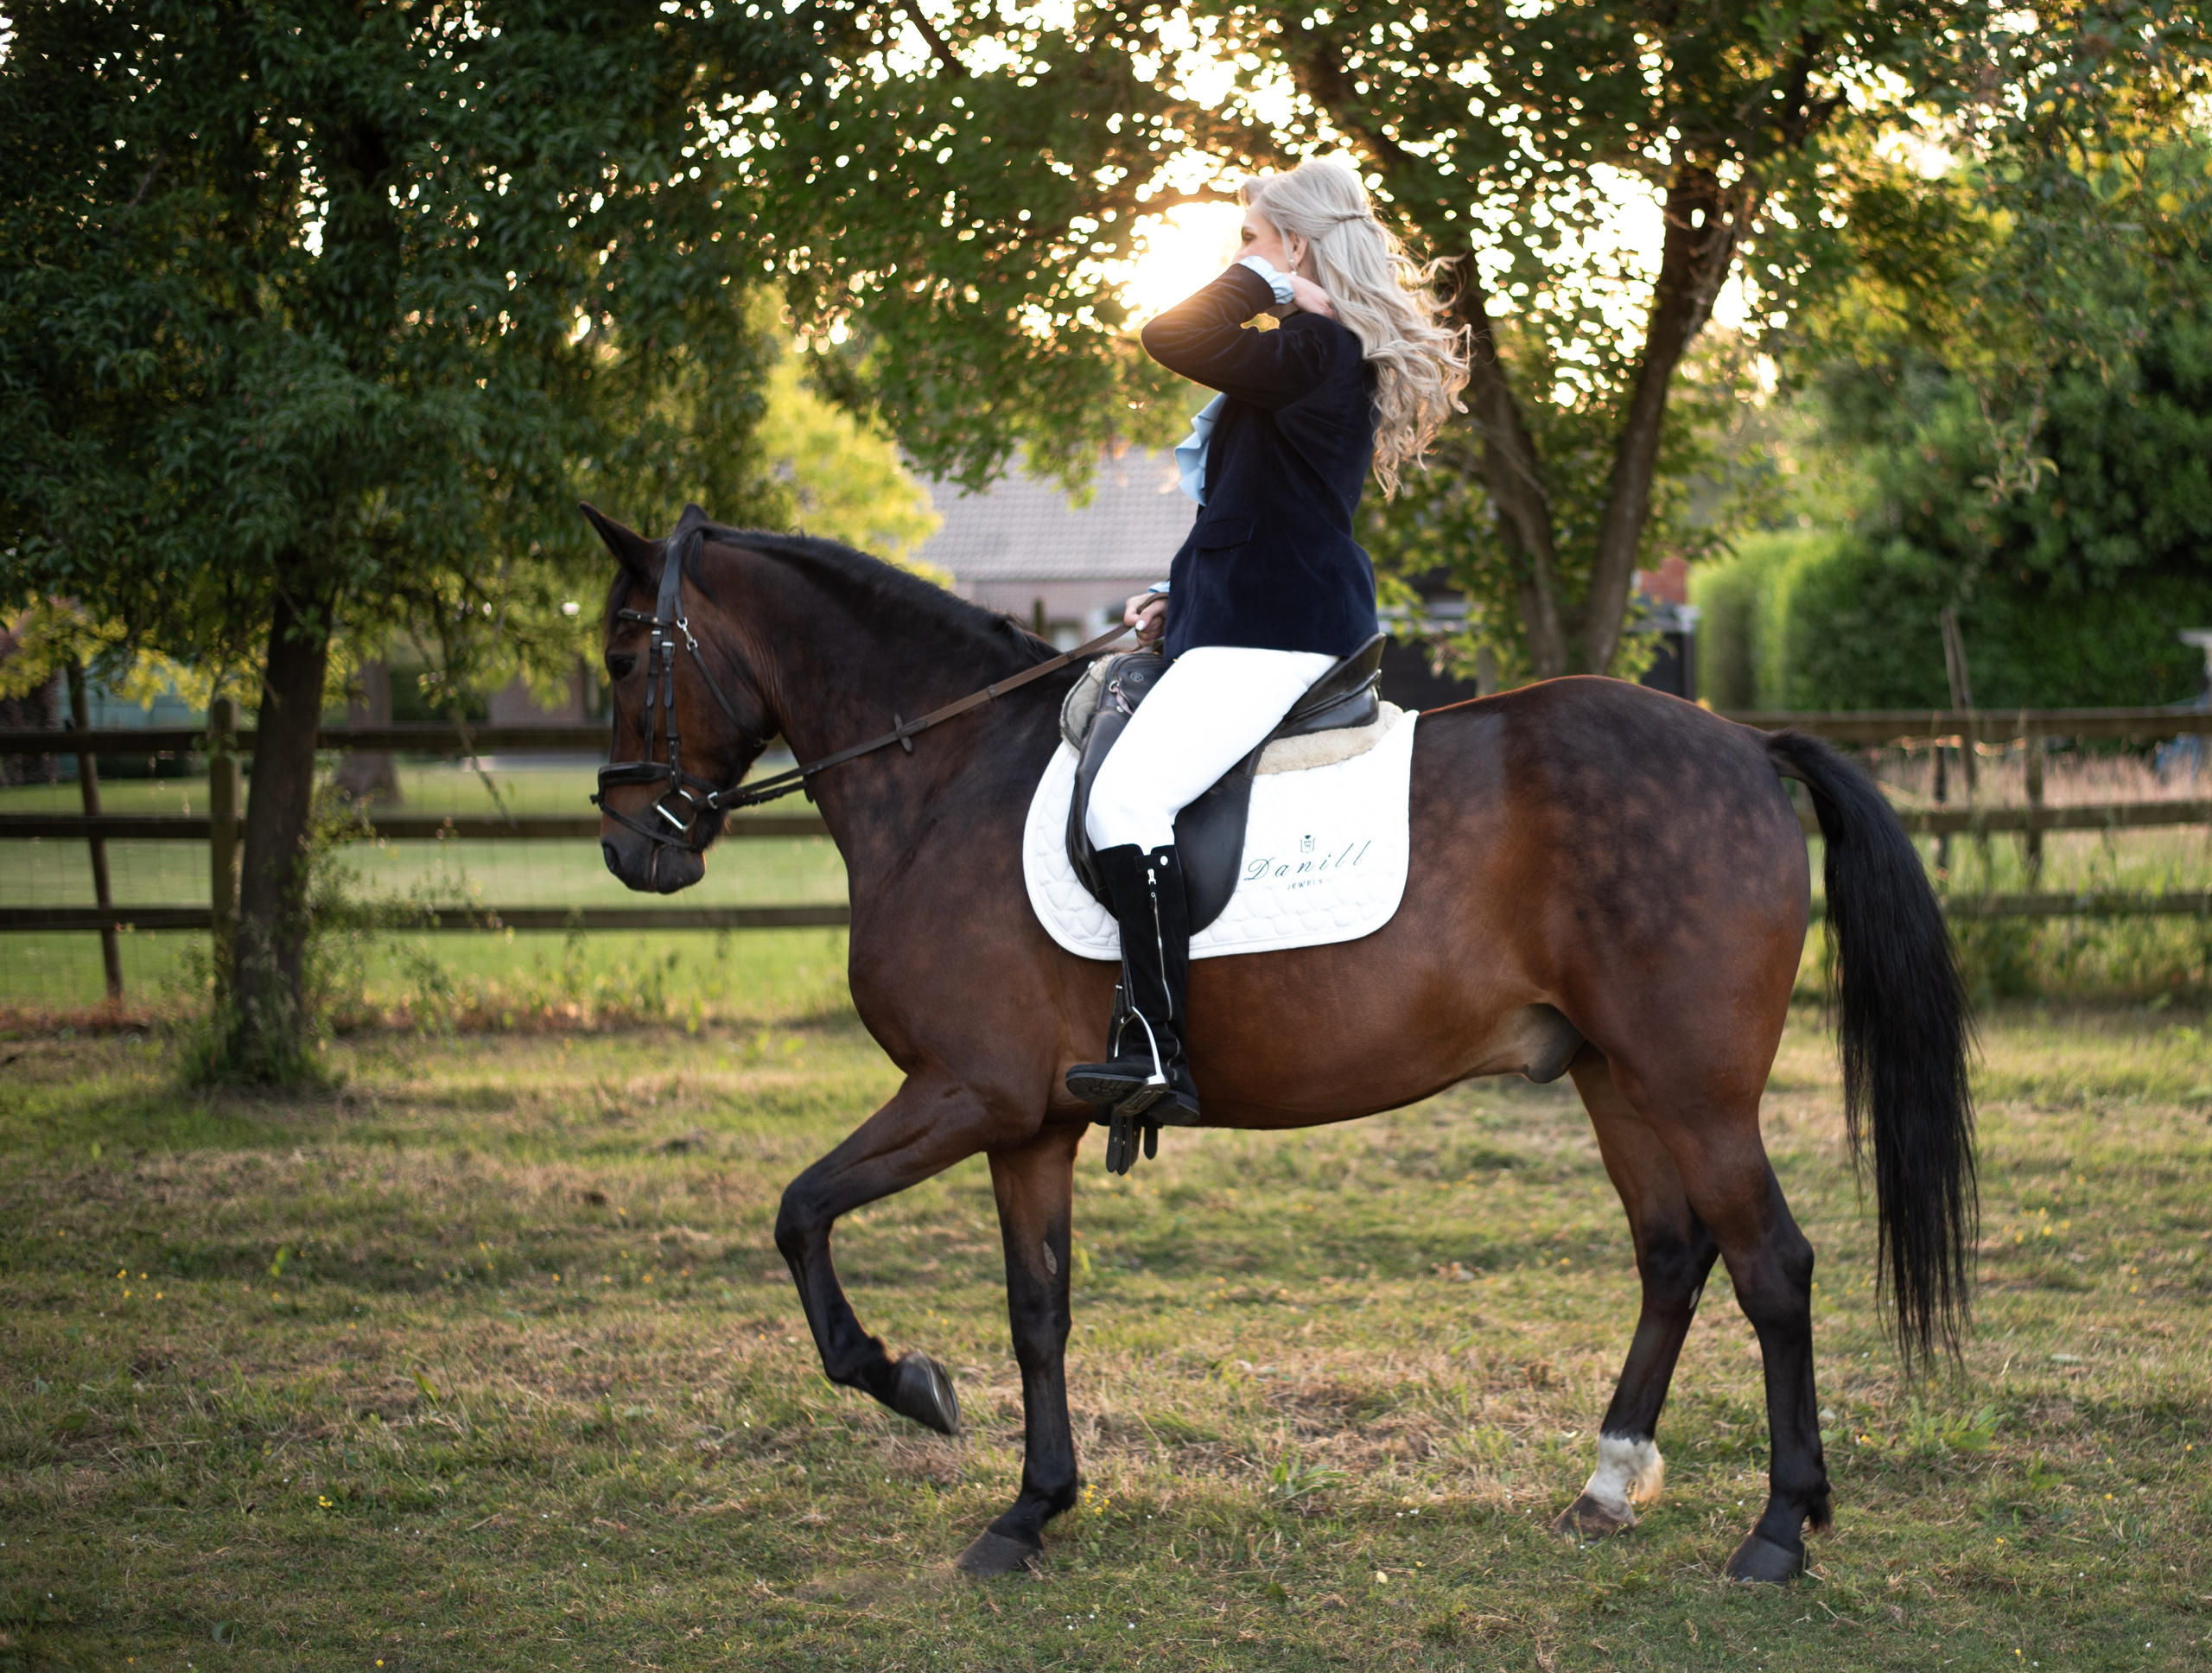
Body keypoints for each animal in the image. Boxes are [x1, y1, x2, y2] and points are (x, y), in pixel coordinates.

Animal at [586, 505, 1975, 1584]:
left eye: (621, 647)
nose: (628, 845)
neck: (944, 775)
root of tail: (1742, 741)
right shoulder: (1029, 1124)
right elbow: (1038, 1309)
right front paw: (1032, 1511)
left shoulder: (964, 1092)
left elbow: (800, 1213)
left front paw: (906, 1382)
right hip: (1611, 1076)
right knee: (1674, 1255)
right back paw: (1609, 1483)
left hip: (1695, 1087)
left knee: (1772, 1267)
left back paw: (1779, 1531)